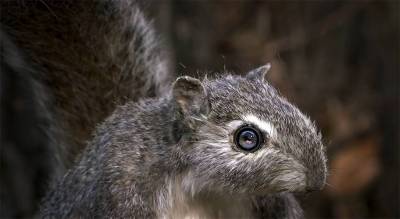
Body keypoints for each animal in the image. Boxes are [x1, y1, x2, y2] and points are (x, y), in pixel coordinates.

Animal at [1, 0, 326, 219]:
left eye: (291, 107)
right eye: (248, 138)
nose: (317, 179)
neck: (204, 187)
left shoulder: (267, 203)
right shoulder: (123, 190)